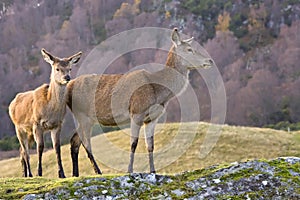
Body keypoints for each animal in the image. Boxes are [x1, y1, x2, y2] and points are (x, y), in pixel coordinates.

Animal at [8, 48, 82, 178]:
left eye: (70, 68)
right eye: (57, 68)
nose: (67, 77)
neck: (50, 110)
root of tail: (11, 104)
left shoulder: (57, 124)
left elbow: (57, 147)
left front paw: (61, 174)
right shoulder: (37, 123)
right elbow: (40, 147)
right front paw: (39, 172)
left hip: (29, 133)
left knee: (21, 151)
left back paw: (25, 174)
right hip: (18, 128)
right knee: (25, 151)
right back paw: (30, 174)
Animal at [67, 27, 213, 176]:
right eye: (189, 49)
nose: (210, 60)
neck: (158, 92)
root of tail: (68, 87)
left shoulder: (152, 118)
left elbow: (150, 145)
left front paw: (153, 171)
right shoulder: (136, 111)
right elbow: (133, 143)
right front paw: (129, 170)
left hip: (84, 118)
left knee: (74, 140)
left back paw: (74, 174)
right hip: (83, 115)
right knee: (85, 142)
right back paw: (97, 171)